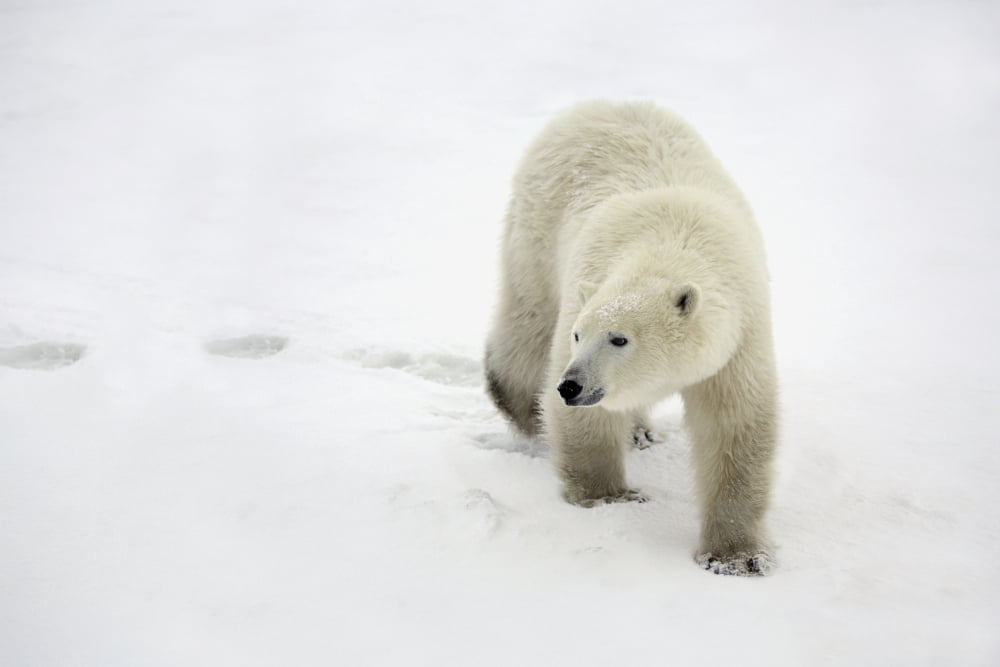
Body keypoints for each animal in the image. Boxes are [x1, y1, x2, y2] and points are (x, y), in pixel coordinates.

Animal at [484, 101, 779, 576]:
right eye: (579, 334)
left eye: (619, 339)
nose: (570, 386)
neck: (671, 243)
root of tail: (596, 104)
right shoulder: (586, 284)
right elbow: (587, 421)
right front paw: (610, 497)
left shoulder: (739, 337)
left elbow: (734, 428)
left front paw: (737, 558)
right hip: (536, 233)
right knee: (527, 323)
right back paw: (524, 407)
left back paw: (638, 431)